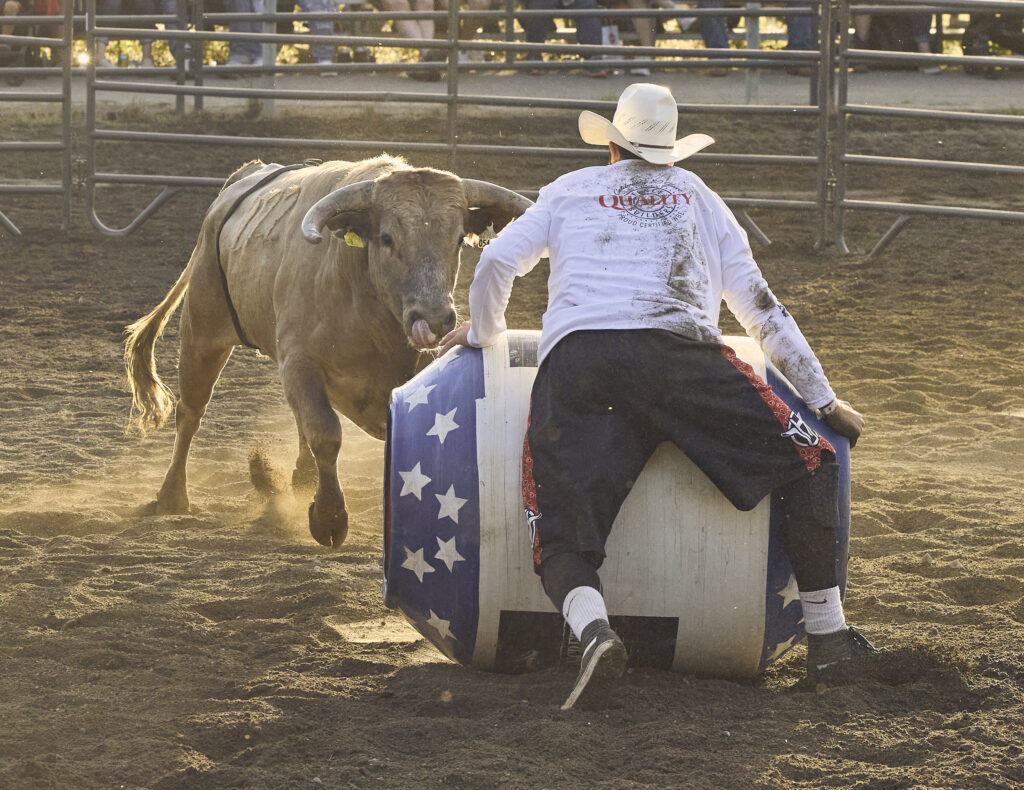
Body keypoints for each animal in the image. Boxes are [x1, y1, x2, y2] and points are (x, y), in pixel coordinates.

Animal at [123, 155, 532, 549]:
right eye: (387, 237)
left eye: (459, 239)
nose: (434, 319)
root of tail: (242, 180)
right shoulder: (300, 363)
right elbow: (325, 432)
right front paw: (329, 517)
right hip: (202, 334)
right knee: (191, 413)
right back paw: (172, 495)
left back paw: (300, 476)